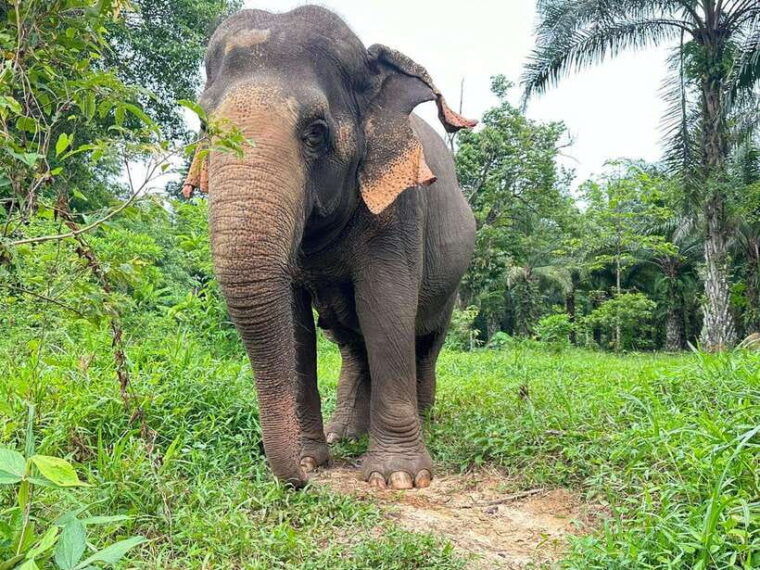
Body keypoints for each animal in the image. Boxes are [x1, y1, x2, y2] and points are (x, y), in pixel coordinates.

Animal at [182, 5, 476, 490]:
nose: (299, 480)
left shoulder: (401, 208)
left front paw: (399, 478)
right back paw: (347, 434)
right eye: (205, 127)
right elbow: (296, 323)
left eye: (316, 132)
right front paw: (313, 457)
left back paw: (425, 421)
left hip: (452, 283)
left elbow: (386, 304)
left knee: (426, 340)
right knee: (354, 345)